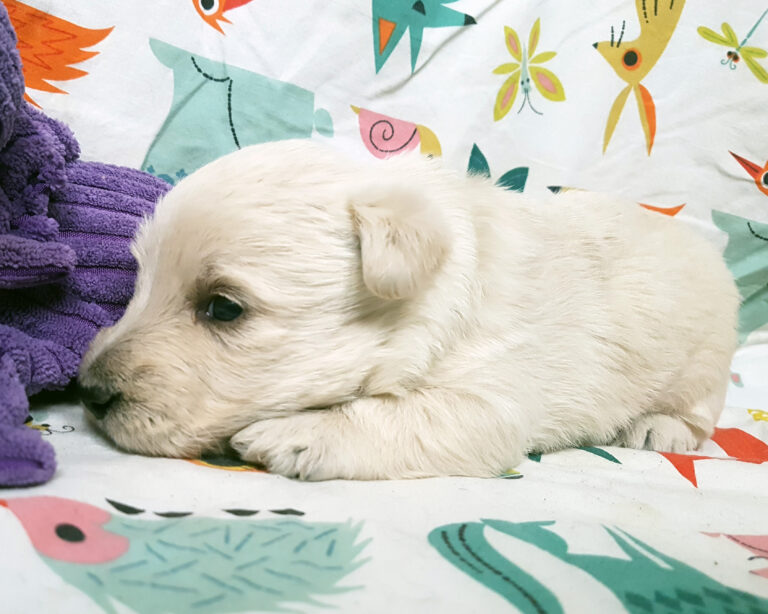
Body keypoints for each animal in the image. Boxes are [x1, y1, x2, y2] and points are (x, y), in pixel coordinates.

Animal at [76, 140, 736, 482]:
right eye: (140, 283)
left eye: (222, 307)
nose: (89, 392)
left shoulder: (492, 394)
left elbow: (404, 416)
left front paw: (296, 434)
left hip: (706, 356)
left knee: (699, 412)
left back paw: (657, 427)